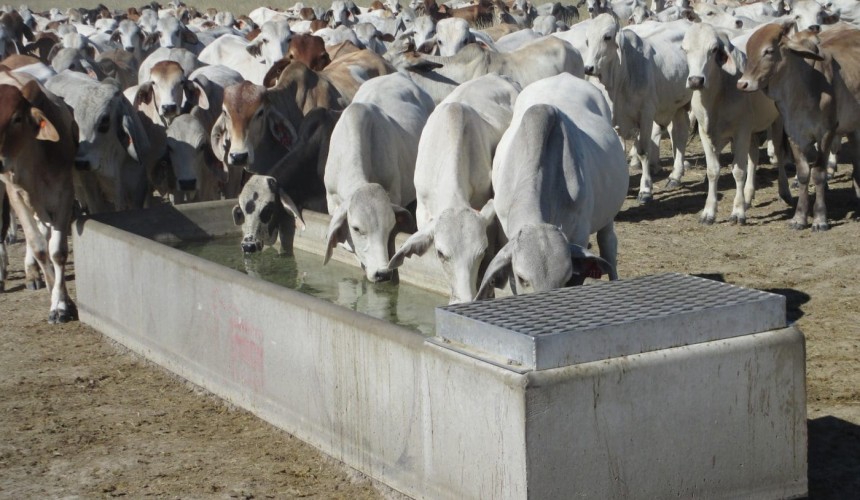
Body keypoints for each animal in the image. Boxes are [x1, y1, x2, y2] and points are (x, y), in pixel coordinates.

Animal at [0, 71, 77, 323]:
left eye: (16, 118)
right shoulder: (16, 195)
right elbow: (40, 248)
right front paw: (60, 300)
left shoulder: (64, 193)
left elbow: (57, 251)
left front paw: (60, 305)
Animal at [582, 14, 692, 202]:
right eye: (588, 39)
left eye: (607, 37)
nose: (588, 68)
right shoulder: (617, 120)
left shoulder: (646, 115)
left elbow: (643, 151)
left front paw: (645, 189)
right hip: (676, 105)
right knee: (678, 134)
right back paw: (675, 176)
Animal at [682, 22, 788, 225]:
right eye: (685, 49)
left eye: (714, 49)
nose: (696, 80)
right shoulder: (706, 133)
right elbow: (713, 171)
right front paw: (709, 212)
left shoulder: (741, 131)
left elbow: (738, 171)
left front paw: (738, 212)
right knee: (754, 156)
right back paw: (748, 196)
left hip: (777, 121)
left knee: (779, 154)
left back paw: (784, 191)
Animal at [738, 22, 860, 230]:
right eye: (748, 50)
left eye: (768, 51)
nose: (742, 84)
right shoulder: (794, 134)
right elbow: (803, 173)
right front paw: (799, 217)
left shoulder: (826, 133)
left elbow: (818, 174)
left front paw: (820, 219)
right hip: (853, 128)